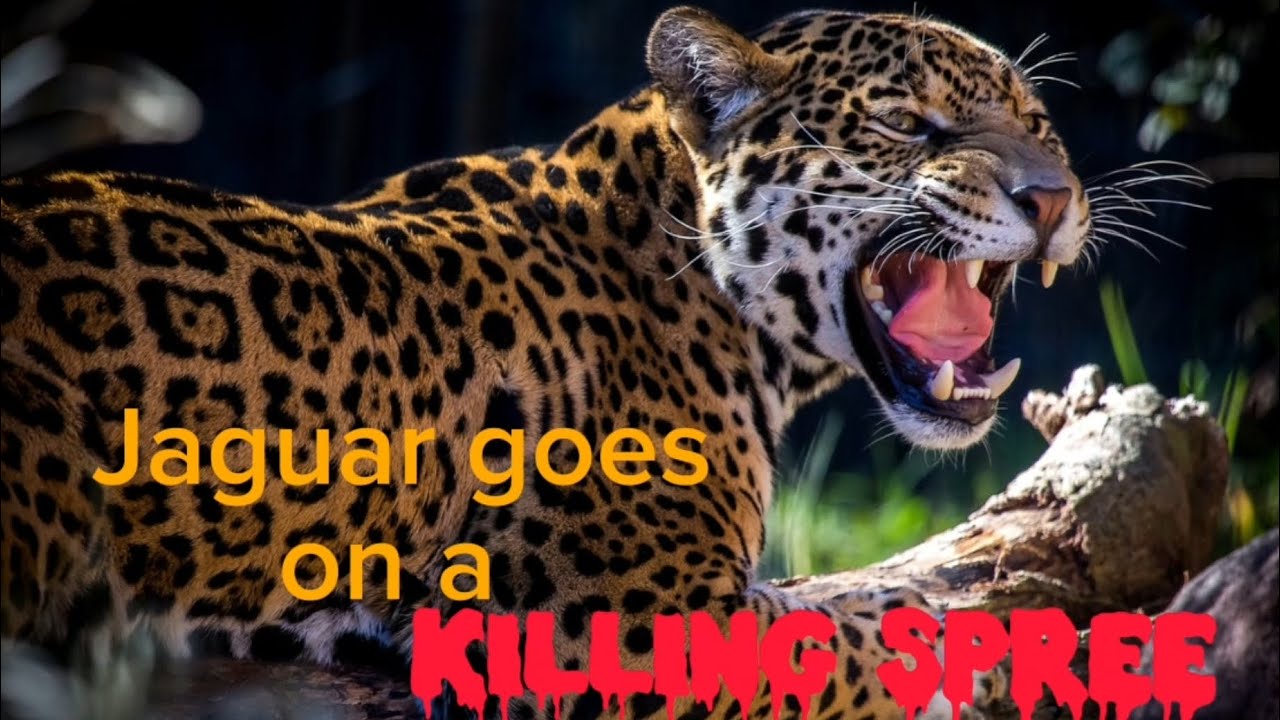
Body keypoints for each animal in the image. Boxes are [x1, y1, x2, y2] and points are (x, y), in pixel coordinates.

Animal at [0, 6, 1094, 719]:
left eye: (1039, 125)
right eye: (906, 124)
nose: (1050, 197)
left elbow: (830, 602)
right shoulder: (633, 612)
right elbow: (839, 646)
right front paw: (962, 657)